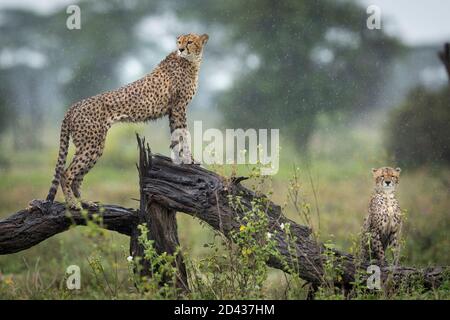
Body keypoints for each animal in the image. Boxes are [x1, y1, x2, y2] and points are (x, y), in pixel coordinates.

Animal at [44, 31, 209, 208]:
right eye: (179, 42)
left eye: (189, 41)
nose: (181, 49)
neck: (192, 60)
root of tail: (74, 106)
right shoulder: (179, 107)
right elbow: (183, 134)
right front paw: (189, 160)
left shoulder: (173, 110)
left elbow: (176, 135)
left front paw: (180, 159)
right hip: (91, 144)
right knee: (66, 173)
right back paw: (73, 204)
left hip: (94, 146)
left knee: (77, 178)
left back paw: (86, 203)